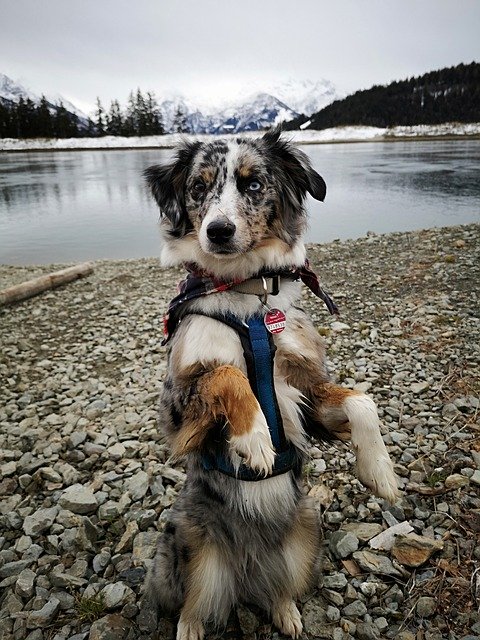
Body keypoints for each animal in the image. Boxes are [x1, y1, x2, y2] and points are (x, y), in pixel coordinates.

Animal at [144, 130, 400, 640]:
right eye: (198, 188)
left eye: (253, 183)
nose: (218, 231)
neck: (249, 302)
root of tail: (246, 563)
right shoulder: (176, 406)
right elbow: (227, 375)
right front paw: (256, 439)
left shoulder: (303, 388)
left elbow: (362, 401)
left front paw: (379, 471)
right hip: (183, 546)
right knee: (195, 601)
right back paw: (190, 625)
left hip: (306, 534)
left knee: (278, 584)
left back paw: (286, 610)